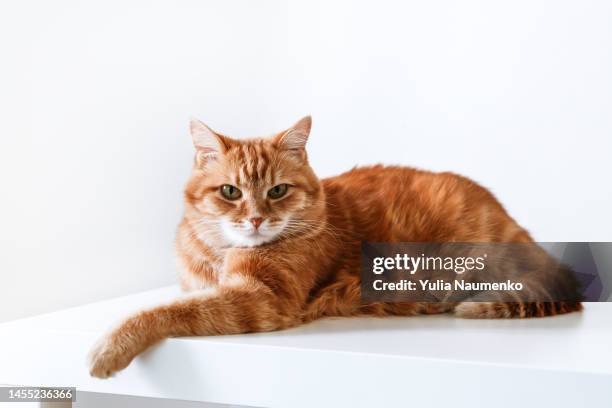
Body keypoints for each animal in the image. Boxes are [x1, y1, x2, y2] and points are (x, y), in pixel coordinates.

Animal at [88, 115, 580, 380]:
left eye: (278, 191)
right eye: (230, 192)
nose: (256, 218)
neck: (219, 253)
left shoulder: (260, 299)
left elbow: (162, 312)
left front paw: (109, 346)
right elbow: (177, 301)